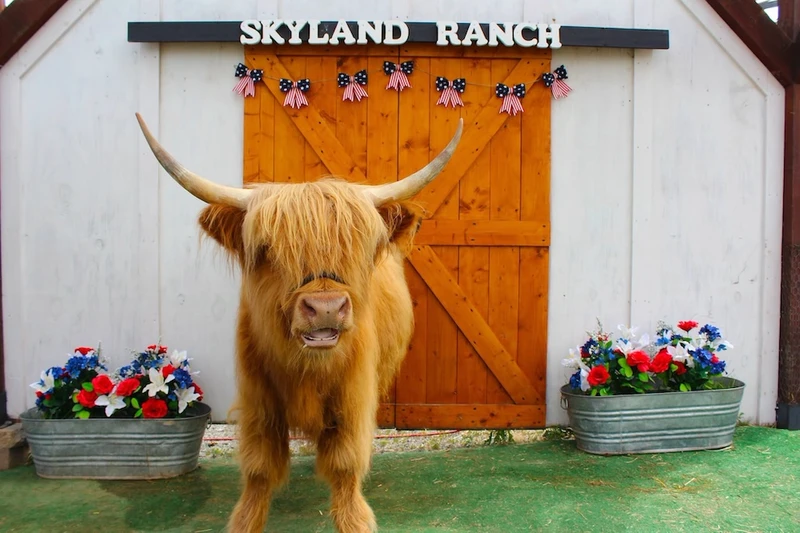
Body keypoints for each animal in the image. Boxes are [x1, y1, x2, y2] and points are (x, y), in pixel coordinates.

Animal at [135, 113, 462, 533]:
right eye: (267, 250)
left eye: (358, 247)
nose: (325, 308)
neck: (307, 369)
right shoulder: (259, 402)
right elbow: (259, 468)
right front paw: (246, 519)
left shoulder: (353, 398)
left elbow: (345, 464)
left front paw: (355, 519)